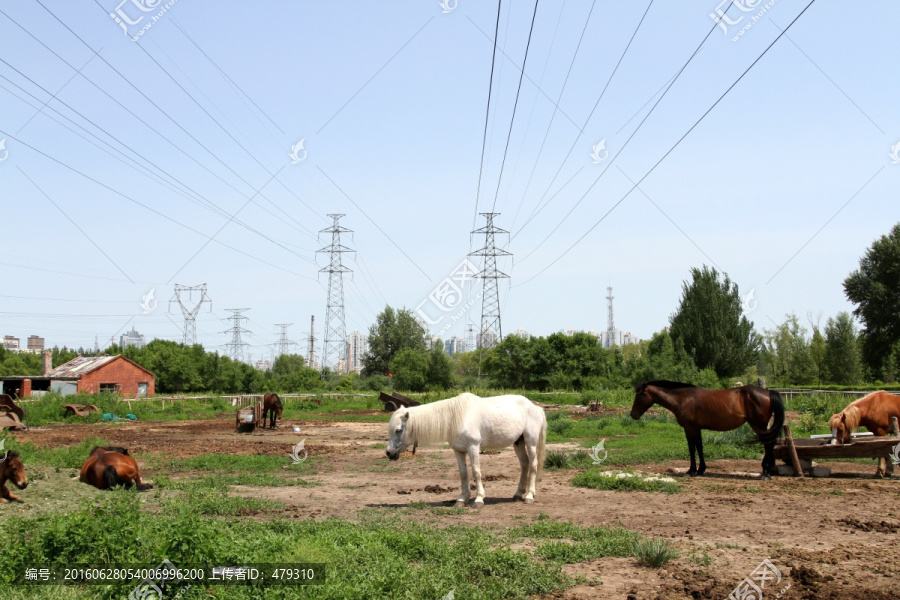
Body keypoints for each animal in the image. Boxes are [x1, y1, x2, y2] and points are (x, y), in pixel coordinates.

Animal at [384, 394, 544, 506]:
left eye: (398, 430)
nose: (389, 453)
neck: (457, 417)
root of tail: (535, 407)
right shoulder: (458, 450)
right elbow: (463, 473)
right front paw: (462, 499)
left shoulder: (473, 447)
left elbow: (476, 471)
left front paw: (479, 499)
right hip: (518, 443)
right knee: (524, 465)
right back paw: (518, 494)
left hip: (530, 442)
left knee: (533, 465)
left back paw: (529, 496)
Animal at [628, 384, 784, 478]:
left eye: (639, 395)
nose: (633, 415)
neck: (682, 399)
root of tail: (768, 391)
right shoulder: (697, 429)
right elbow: (700, 447)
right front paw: (701, 469)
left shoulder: (689, 428)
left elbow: (692, 448)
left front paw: (691, 471)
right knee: (770, 443)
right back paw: (769, 470)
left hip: (759, 425)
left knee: (769, 443)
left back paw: (766, 472)